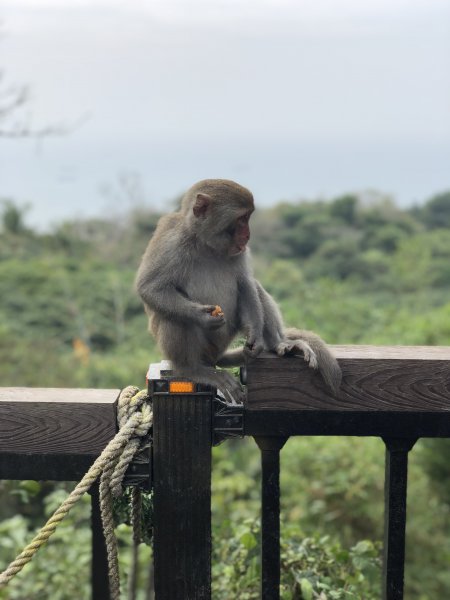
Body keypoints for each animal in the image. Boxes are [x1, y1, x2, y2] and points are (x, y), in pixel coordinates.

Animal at [136, 178, 342, 404]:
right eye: (242, 218)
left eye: (248, 217)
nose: (248, 235)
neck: (206, 244)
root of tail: (214, 357)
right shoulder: (171, 242)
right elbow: (151, 288)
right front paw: (203, 316)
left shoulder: (239, 251)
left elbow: (245, 284)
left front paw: (257, 338)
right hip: (202, 349)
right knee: (175, 317)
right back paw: (192, 370)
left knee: (256, 289)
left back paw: (279, 344)